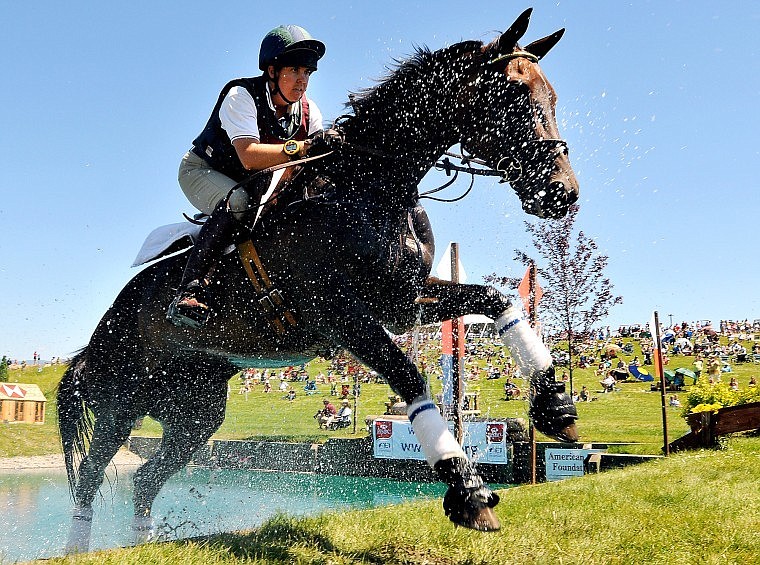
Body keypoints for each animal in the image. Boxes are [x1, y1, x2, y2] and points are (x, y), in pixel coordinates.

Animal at [59, 9, 580, 552]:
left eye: (552, 97)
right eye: (515, 96)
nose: (563, 193)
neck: (368, 187)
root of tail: (98, 335)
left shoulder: (401, 300)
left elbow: (495, 298)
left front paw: (555, 406)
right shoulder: (340, 315)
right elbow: (407, 374)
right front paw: (467, 491)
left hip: (195, 412)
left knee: (144, 479)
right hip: (122, 403)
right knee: (91, 477)